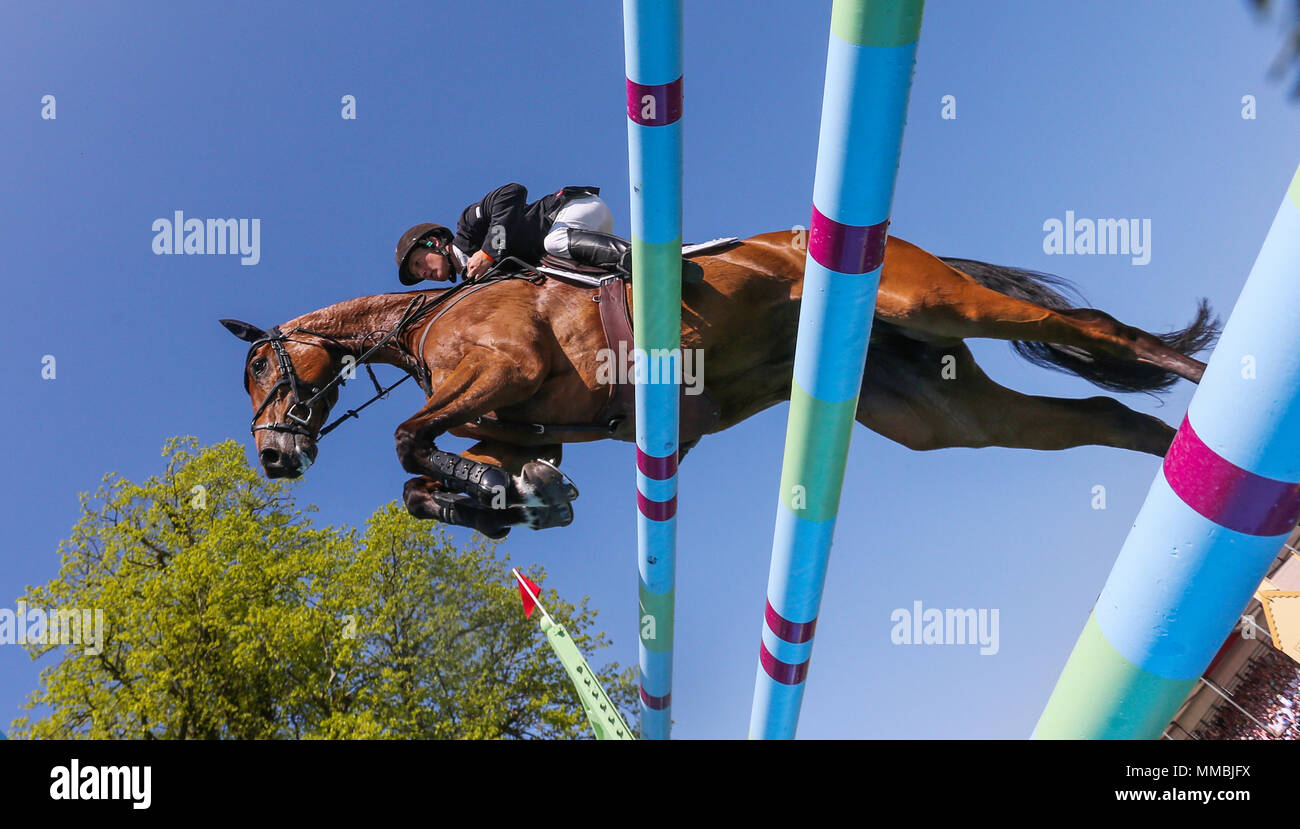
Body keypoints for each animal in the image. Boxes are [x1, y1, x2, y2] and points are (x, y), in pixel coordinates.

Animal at [218, 231, 1211, 540]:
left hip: (934, 299)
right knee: (1099, 413)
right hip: (936, 407)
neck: (427, 320)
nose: (273, 457)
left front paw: (519, 495)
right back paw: (1195, 468)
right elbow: (431, 479)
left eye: (261, 367)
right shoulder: (519, 418)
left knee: (1097, 331)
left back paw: (1209, 377)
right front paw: (521, 496)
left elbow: (406, 442)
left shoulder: (505, 367)